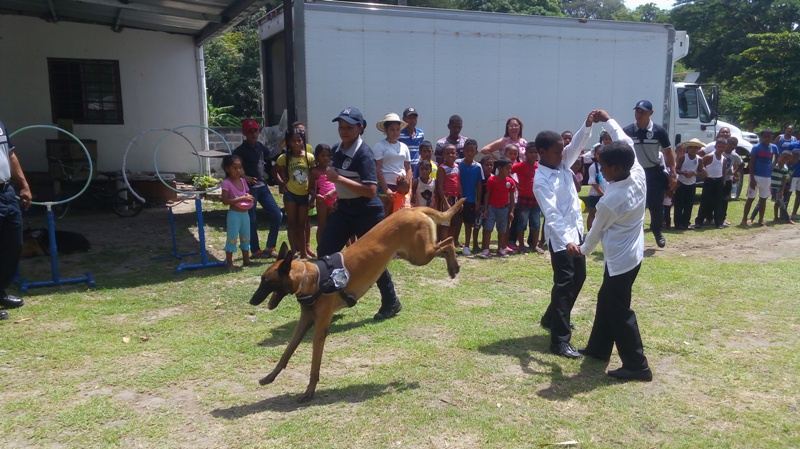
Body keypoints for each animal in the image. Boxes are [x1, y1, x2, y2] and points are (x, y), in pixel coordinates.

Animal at [249, 198, 465, 402]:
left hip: (420, 255)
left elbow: (314, 365)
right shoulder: (305, 321)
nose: (252, 301)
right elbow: (287, 351)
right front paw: (270, 376)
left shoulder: (320, 328)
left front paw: (309, 391)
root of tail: (414, 209)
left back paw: (453, 266)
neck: (310, 278)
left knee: (448, 241)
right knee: (445, 243)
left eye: (265, 281)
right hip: (410, 254)